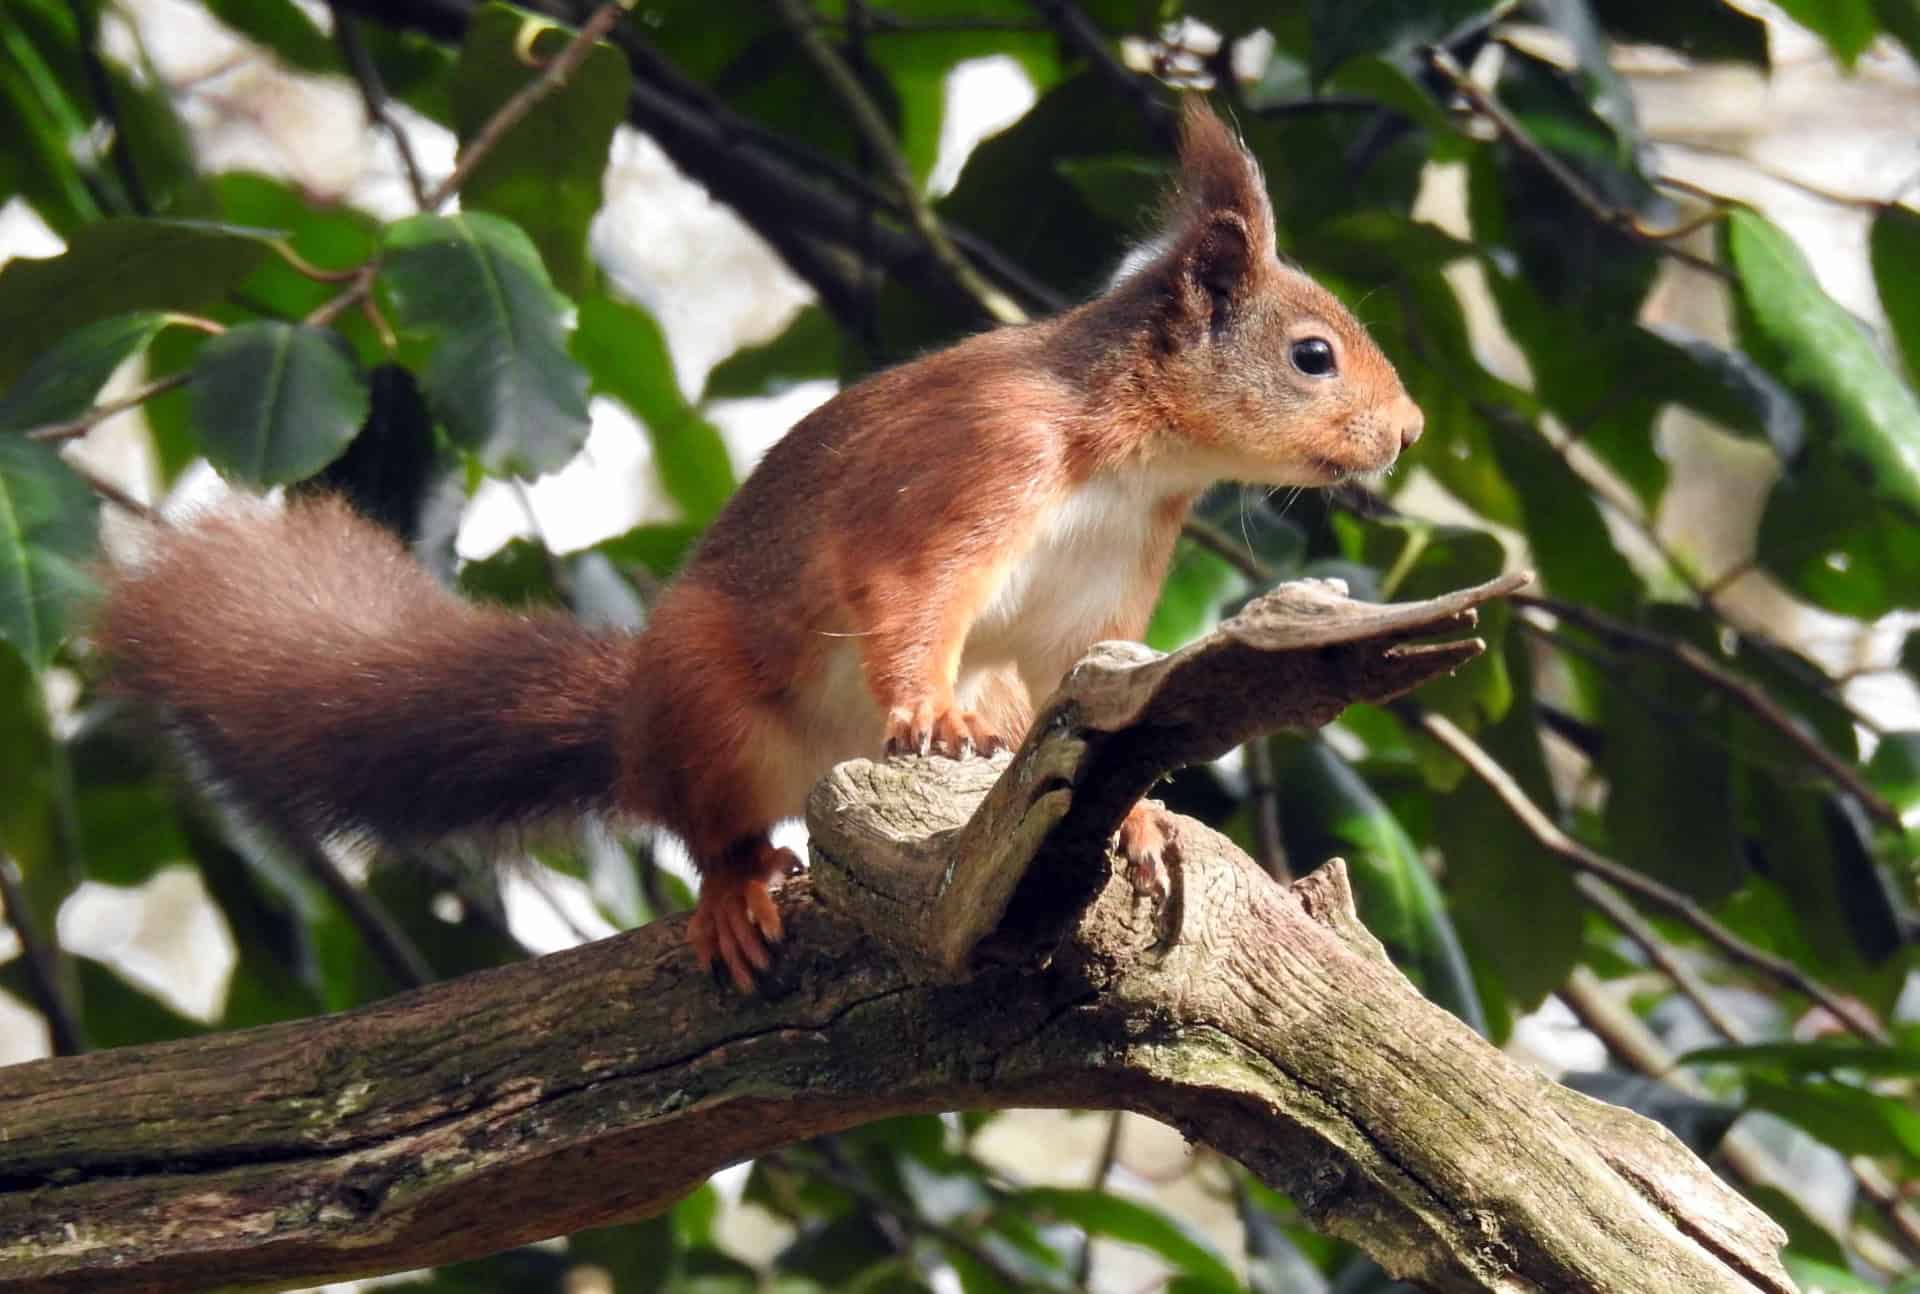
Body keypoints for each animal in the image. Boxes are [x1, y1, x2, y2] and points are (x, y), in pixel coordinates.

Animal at [97, 100, 1420, 990]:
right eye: (1312, 355)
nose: (1406, 430)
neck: (1138, 461)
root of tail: (632, 722)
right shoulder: (972, 468)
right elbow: (909, 592)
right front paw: (928, 711)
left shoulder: (1097, 598)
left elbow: (1096, 699)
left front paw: (1137, 816)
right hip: (713, 713)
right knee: (711, 824)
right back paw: (743, 880)